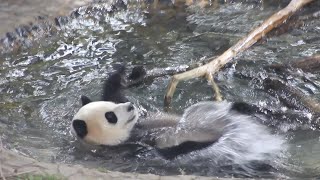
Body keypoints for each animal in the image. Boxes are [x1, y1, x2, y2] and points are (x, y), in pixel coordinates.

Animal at [71, 65, 286, 169]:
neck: (131, 131)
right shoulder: (127, 148)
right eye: (111, 117)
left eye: (112, 108)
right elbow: (166, 150)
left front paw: (124, 72)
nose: (131, 107)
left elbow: (112, 90)